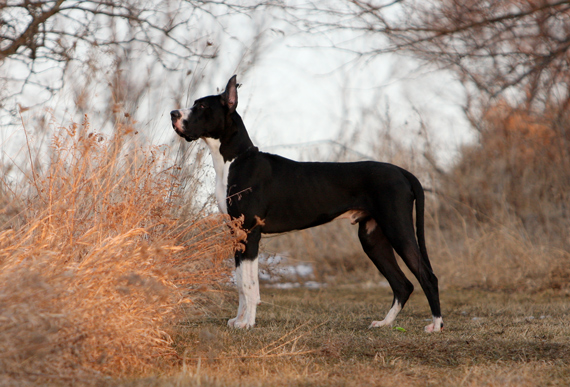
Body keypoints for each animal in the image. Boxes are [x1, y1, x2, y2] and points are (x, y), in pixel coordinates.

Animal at [169, 76, 440, 334]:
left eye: (202, 106)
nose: (173, 114)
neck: (235, 160)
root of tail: (403, 172)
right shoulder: (236, 235)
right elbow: (240, 283)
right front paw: (239, 320)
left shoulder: (250, 233)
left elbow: (249, 285)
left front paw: (247, 323)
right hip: (373, 238)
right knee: (403, 285)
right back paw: (385, 323)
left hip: (397, 228)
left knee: (427, 276)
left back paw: (436, 325)